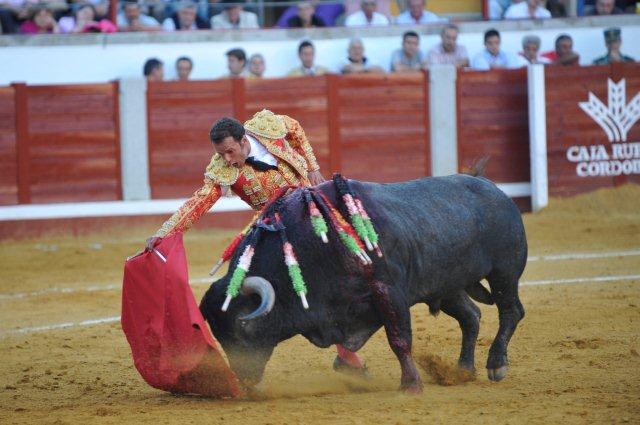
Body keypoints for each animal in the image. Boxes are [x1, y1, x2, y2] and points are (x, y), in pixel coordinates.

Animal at [202, 173, 528, 390]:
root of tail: (497, 192)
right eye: (217, 333)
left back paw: (496, 364)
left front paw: (410, 385)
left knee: (511, 311)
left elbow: (399, 340)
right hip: (447, 286)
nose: (244, 379)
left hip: (504, 272)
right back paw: (462, 370)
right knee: (471, 316)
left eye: (243, 327)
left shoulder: (389, 291)